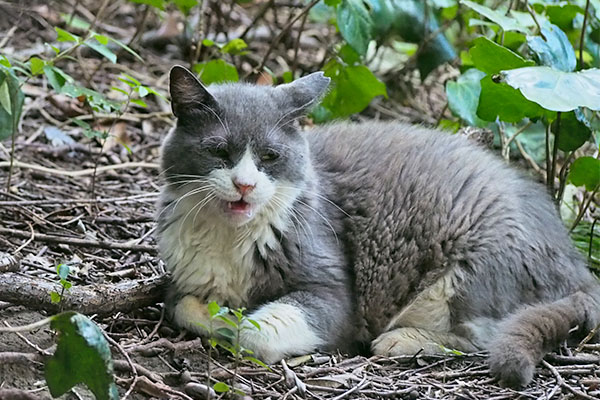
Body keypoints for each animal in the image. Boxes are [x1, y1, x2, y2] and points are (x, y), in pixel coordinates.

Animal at [156, 65, 600, 388]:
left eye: (270, 156)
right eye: (219, 152)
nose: (245, 185)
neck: (230, 238)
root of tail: (578, 266)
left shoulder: (335, 293)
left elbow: (256, 331)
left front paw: (232, 322)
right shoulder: (182, 276)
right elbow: (181, 305)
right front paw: (216, 312)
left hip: (468, 269)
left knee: (482, 336)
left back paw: (401, 340)